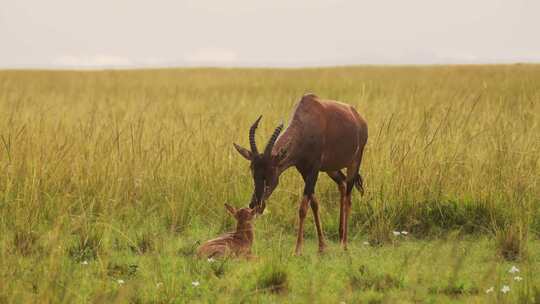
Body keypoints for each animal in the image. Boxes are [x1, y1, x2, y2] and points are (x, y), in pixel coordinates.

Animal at [234, 92, 370, 254]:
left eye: (271, 170)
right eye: (252, 170)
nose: (256, 204)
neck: (307, 121)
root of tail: (359, 119)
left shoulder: (314, 170)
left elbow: (303, 208)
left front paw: (298, 249)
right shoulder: (304, 171)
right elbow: (314, 204)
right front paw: (322, 247)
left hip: (354, 163)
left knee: (348, 199)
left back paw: (344, 244)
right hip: (331, 168)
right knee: (342, 184)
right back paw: (340, 233)